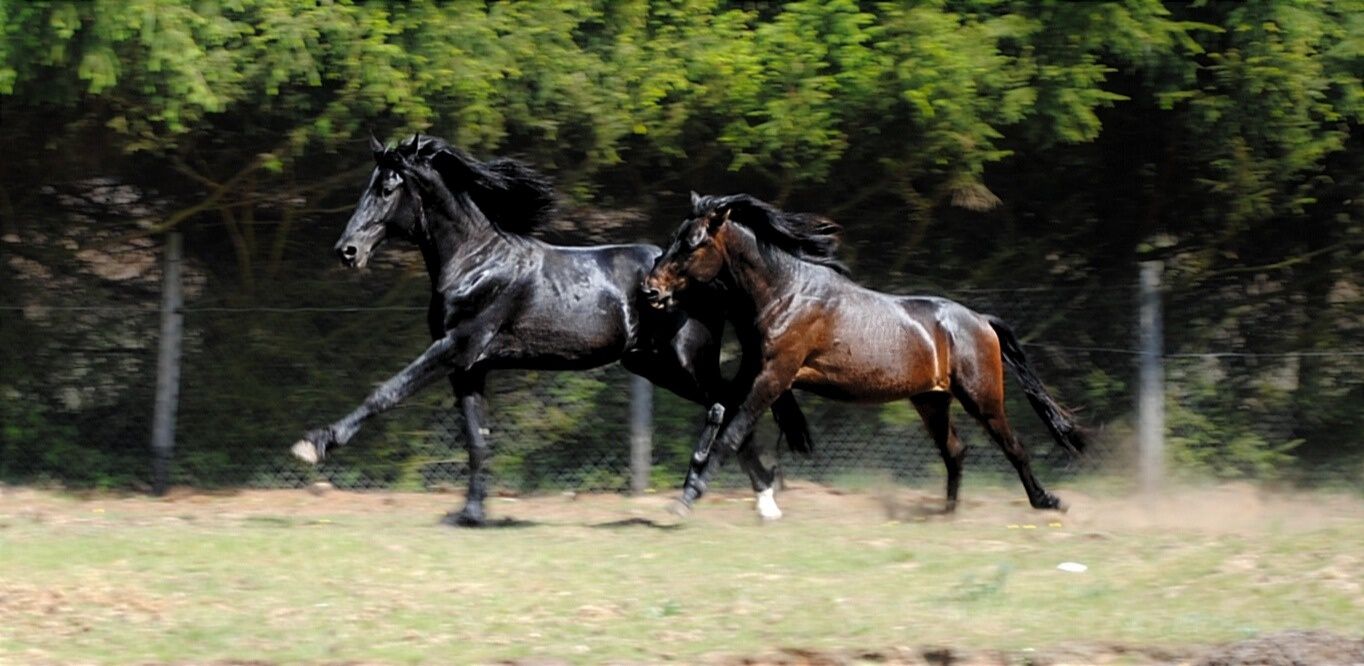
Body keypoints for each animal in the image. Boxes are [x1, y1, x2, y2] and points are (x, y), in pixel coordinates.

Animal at [290, 139, 807, 526]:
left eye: (386, 188)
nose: (347, 251)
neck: (476, 262)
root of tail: (712, 280)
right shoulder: (469, 367)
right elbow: (477, 438)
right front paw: (471, 514)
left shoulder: (455, 346)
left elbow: (388, 391)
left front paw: (313, 444)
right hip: (653, 365)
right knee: (732, 408)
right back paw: (761, 501)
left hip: (684, 361)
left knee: (726, 406)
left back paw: (709, 492)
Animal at [641, 192, 1085, 515]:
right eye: (675, 237)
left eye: (692, 244)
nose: (650, 288)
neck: (786, 293)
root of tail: (981, 320)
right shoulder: (753, 373)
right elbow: (721, 415)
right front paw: (693, 479)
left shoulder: (774, 377)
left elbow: (732, 433)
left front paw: (688, 498)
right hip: (931, 401)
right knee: (955, 451)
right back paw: (947, 513)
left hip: (983, 398)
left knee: (1013, 447)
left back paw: (1047, 501)